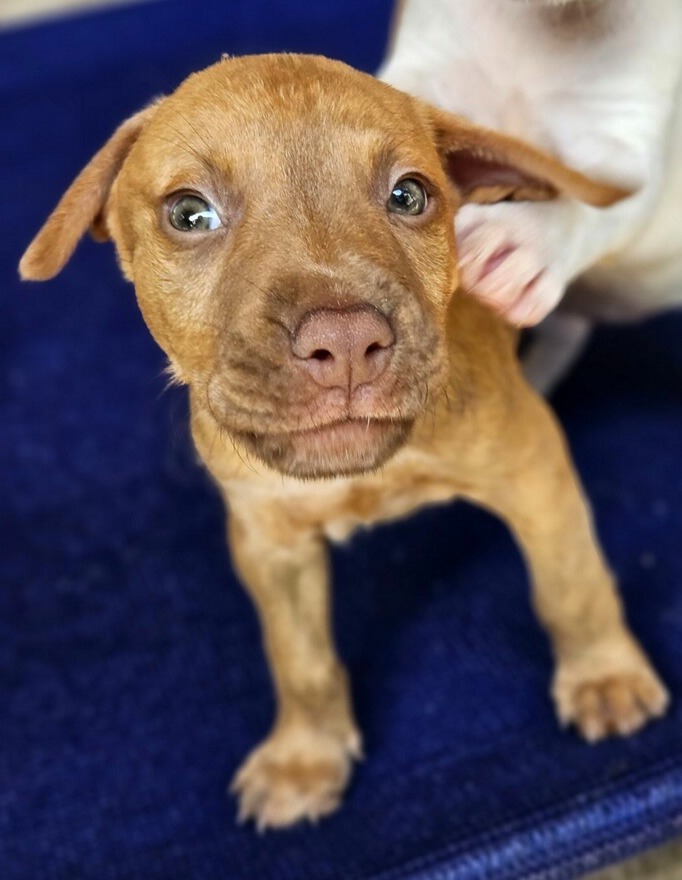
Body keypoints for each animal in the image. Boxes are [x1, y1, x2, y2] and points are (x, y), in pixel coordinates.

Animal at [19, 56, 664, 832]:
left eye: (410, 195)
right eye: (188, 214)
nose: (348, 341)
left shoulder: (534, 467)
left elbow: (571, 583)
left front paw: (604, 674)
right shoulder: (267, 538)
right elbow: (299, 657)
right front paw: (305, 757)